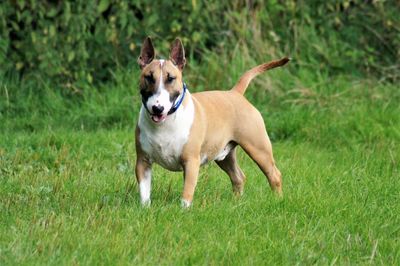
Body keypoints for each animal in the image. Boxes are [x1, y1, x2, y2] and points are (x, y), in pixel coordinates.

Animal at [136, 37, 290, 208]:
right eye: (149, 77)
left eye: (171, 78)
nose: (157, 108)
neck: (165, 122)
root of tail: (235, 93)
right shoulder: (142, 161)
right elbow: (144, 191)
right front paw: (145, 209)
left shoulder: (191, 161)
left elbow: (187, 192)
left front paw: (183, 210)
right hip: (225, 155)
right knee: (238, 177)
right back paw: (236, 203)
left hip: (258, 148)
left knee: (274, 175)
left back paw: (278, 200)